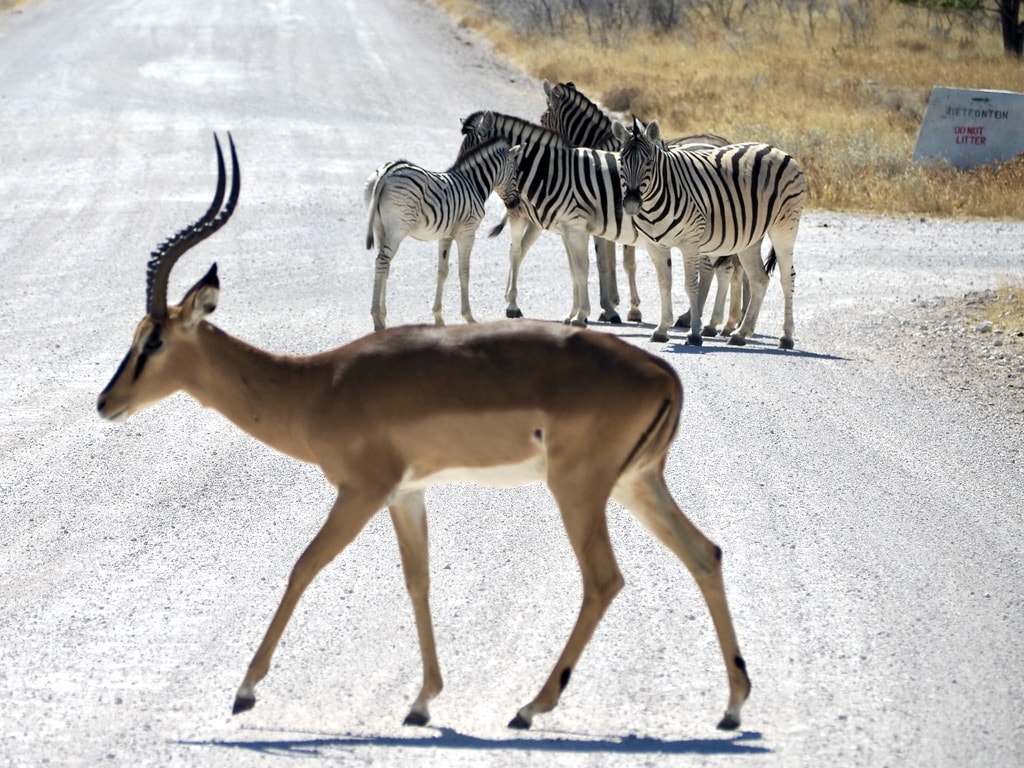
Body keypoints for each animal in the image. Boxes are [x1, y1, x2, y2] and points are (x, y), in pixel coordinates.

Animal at [364, 134, 520, 331]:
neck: (474, 183)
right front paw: (469, 317)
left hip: (380, 228)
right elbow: (464, 272)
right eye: (515, 173)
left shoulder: (445, 236)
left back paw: (383, 318)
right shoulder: (467, 232)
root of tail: (386, 171)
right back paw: (377, 321)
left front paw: (438, 317)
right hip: (397, 229)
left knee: (385, 266)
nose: (516, 203)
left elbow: (442, 272)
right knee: (382, 262)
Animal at [456, 110, 671, 331]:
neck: (553, 172)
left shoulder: (573, 227)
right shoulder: (566, 228)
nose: (463, 183)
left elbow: (589, 266)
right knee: (519, 251)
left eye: (471, 153)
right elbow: (576, 269)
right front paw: (581, 313)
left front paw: (587, 313)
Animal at [540, 80, 757, 339]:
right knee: (736, 268)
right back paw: (732, 321)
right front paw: (619, 306)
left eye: (545, 115)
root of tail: (724, 143)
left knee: (722, 268)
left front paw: (615, 308)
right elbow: (618, 262)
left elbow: (612, 262)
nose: (540, 125)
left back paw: (704, 320)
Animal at [610, 117, 802, 348]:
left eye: (649, 162)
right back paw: (740, 333)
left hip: (785, 227)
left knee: (787, 278)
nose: (631, 204)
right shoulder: (655, 245)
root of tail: (773, 148)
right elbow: (665, 285)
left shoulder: (690, 243)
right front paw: (662, 329)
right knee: (760, 279)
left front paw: (694, 333)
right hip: (750, 238)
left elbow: (691, 285)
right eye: (621, 161)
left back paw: (786, 337)